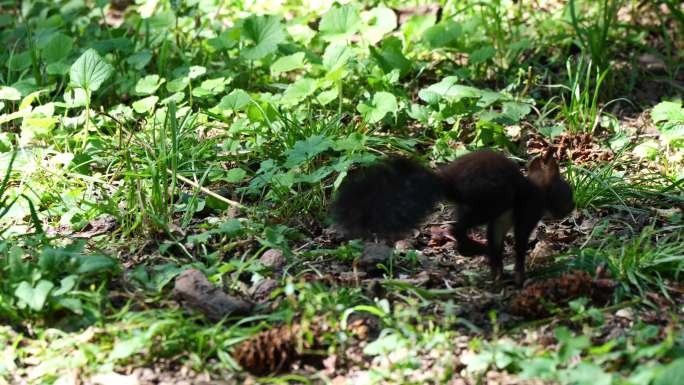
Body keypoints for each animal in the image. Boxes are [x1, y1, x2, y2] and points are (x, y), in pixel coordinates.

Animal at [330, 150, 572, 284]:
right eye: (566, 191)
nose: (571, 207)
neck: (537, 189)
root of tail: (446, 181)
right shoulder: (528, 211)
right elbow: (520, 245)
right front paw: (520, 277)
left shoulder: (501, 221)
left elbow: (497, 240)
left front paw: (497, 272)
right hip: (491, 199)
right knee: (456, 229)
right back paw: (475, 248)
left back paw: (479, 250)